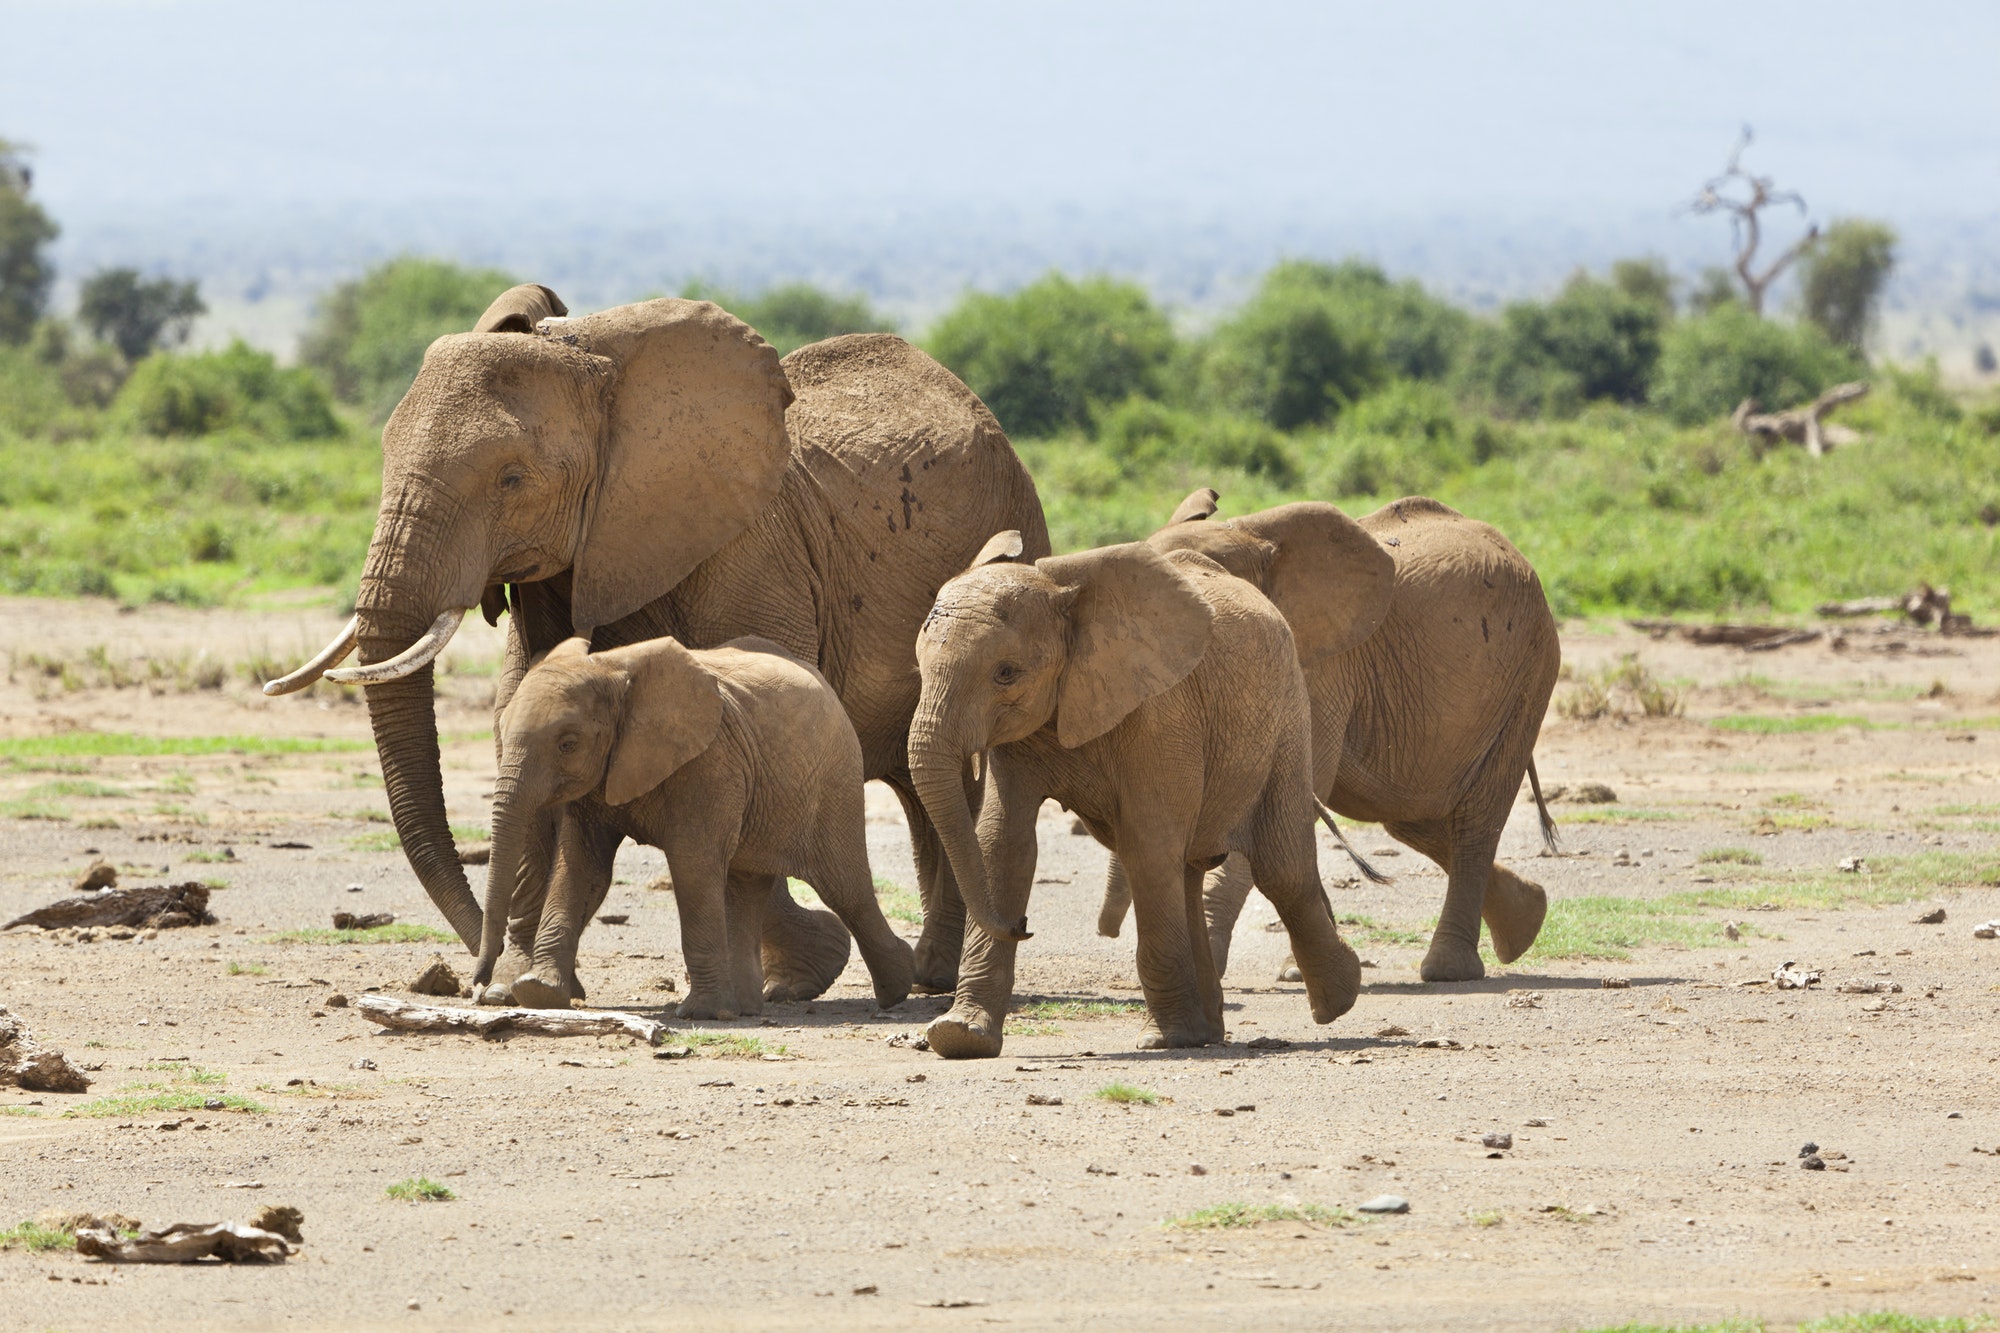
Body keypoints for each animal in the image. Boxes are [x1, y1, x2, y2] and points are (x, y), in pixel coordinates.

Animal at [476, 632, 916, 1016]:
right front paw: (537, 992)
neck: (611, 668)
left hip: (834, 780)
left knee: (845, 887)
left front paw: (699, 1013)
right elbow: (581, 872)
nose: (479, 984)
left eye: (568, 743)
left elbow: (692, 865)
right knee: (746, 884)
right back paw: (744, 1008)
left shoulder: (708, 761)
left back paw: (898, 987)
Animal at [1096, 488, 1560, 976]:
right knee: (1412, 815)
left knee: (1474, 818)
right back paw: (1526, 919)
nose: (1106, 932)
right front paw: (1299, 969)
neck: (1248, 534)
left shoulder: (1318, 668)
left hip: (1529, 674)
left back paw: (1450, 968)